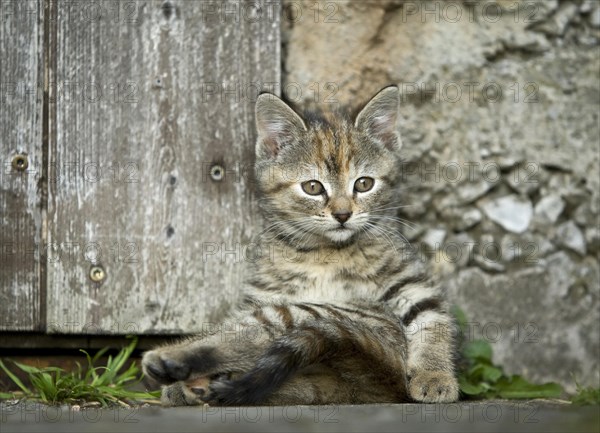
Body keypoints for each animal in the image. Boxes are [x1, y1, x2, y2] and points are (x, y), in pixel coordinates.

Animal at [142, 85, 460, 404]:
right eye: (313, 187)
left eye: (364, 184)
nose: (342, 214)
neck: (324, 252)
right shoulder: (264, 294)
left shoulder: (409, 280)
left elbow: (432, 317)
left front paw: (435, 375)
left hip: (323, 315)